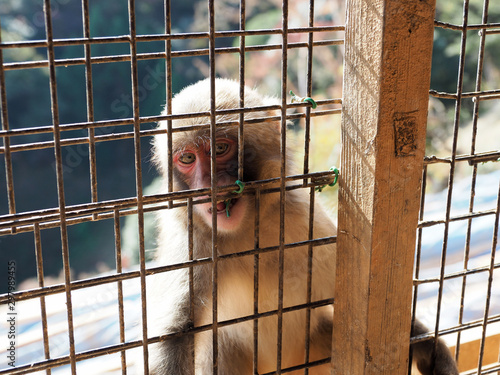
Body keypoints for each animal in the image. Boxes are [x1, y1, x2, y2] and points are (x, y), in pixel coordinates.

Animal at [143, 77, 458, 375]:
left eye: (219, 148)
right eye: (187, 158)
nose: (205, 185)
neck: (246, 230)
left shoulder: (306, 222)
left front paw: (427, 345)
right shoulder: (192, 246)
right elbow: (176, 336)